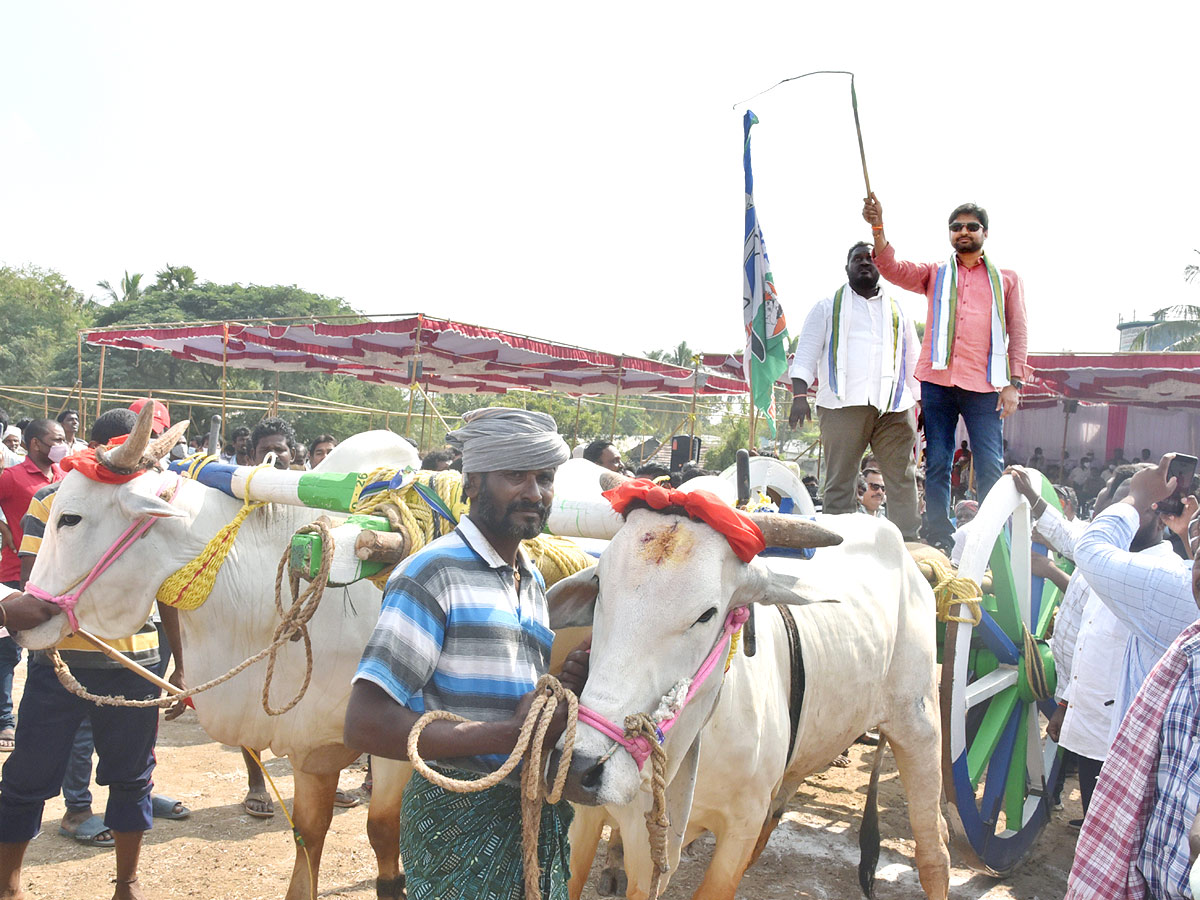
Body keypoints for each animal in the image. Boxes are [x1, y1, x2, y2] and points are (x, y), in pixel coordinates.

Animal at [11, 422, 417, 900]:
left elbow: (382, 828)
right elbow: (310, 834)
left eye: (70, 518)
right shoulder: (310, 743)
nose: (18, 617)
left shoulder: (392, 740)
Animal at [549, 504, 950, 897]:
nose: (580, 768)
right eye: (599, 586)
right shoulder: (587, 820)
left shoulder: (739, 829)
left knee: (935, 850)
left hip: (920, 724)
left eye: (707, 614)